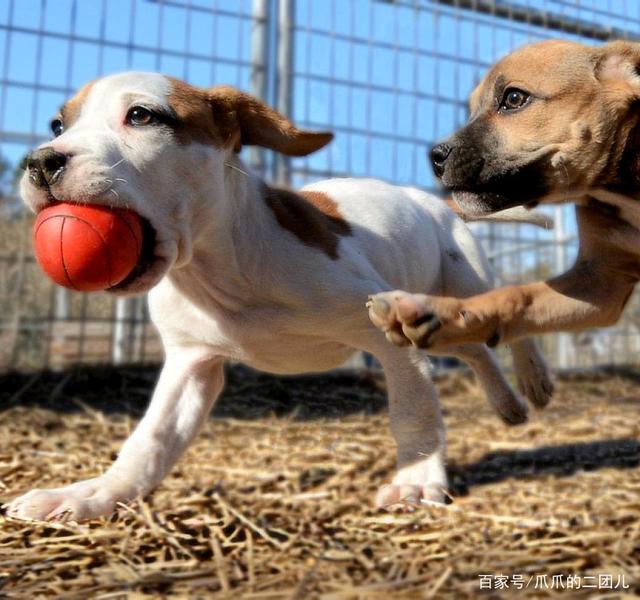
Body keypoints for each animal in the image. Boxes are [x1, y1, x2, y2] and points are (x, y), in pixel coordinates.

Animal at [7, 71, 552, 520]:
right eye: (58, 124)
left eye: (141, 115)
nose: (40, 162)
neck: (220, 272)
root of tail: (435, 203)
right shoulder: (191, 365)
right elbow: (150, 441)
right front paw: (93, 494)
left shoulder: (386, 337)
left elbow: (412, 412)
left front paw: (415, 480)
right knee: (475, 349)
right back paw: (509, 405)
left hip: (463, 280)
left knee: (508, 320)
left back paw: (533, 380)